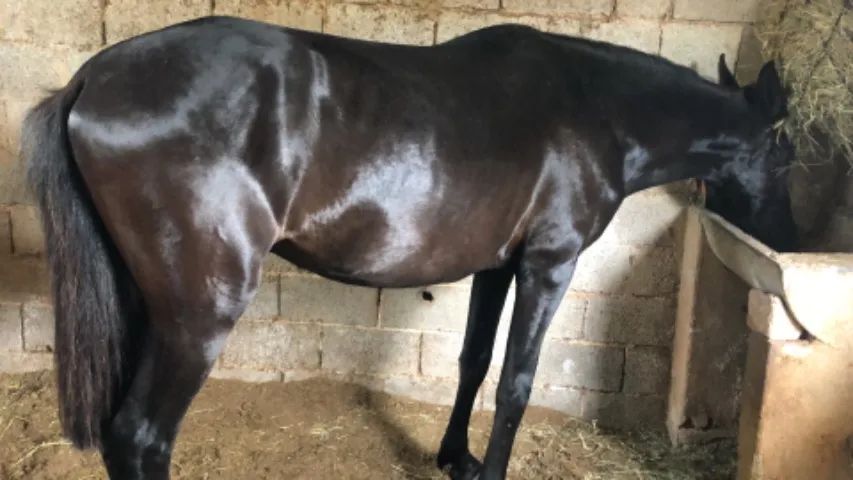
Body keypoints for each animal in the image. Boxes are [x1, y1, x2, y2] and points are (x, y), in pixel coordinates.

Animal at [22, 16, 796, 480]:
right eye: (790, 147)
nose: (785, 235)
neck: (595, 110)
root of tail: (93, 79)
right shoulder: (549, 265)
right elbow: (516, 383)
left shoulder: (497, 268)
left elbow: (474, 363)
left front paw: (455, 457)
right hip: (199, 315)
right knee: (141, 435)